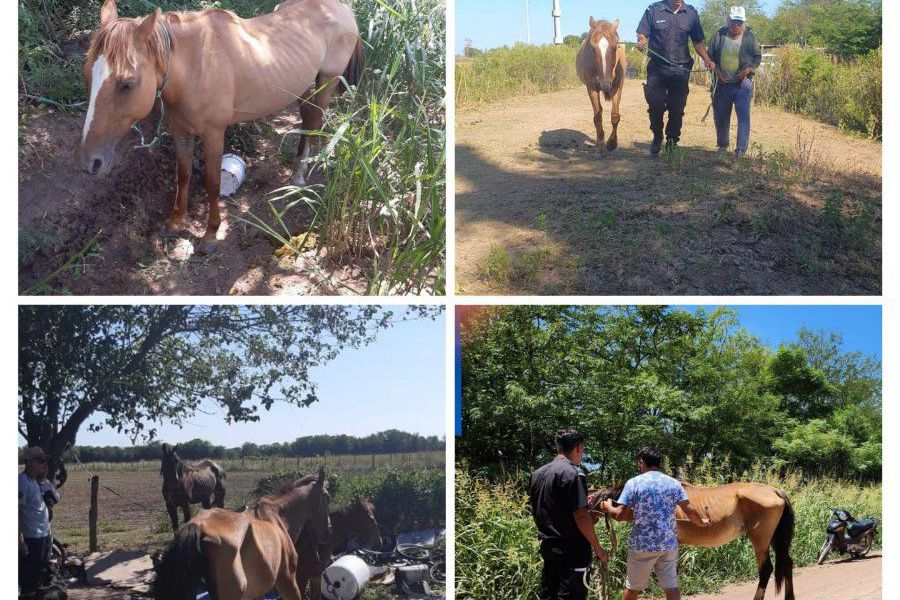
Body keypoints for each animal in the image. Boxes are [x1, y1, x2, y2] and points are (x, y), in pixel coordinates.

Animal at [77, 0, 364, 254]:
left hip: (327, 82)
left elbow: (212, 181)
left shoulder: (214, 134)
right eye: (88, 76)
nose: (90, 161)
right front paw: (175, 221)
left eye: (127, 84)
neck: (197, 66)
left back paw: (300, 176)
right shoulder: (181, 131)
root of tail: (342, 8)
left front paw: (210, 235)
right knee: (306, 119)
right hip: (302, 85)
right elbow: (183, 174)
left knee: (315, 122)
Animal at [576, 18, 624, 155]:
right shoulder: (592, 88)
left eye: (615, 46)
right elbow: (597, 117)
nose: (605, 83)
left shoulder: (617, 87)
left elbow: (615, 116)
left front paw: (612, 143)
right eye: (592, 48)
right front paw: (600, 146)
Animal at [596, 480, 800, 600]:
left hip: (760, 540)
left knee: (766, 570)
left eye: (596, 500)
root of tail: (775, 490)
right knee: (787, 563)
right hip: (776, 538)